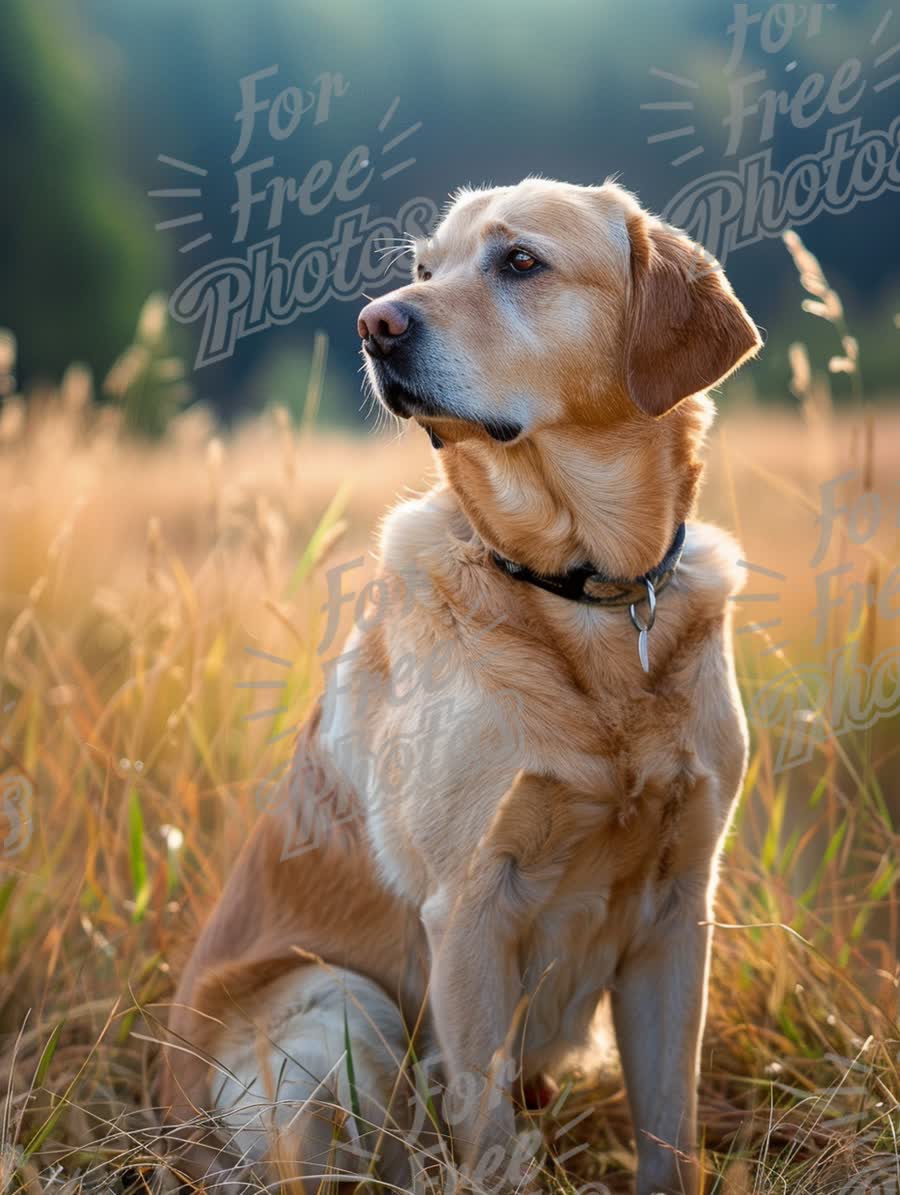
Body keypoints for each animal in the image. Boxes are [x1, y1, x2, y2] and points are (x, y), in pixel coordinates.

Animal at [160, 176, 760, 1195]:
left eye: (520, 260)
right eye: (423, 267)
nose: (375, 324)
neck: (587, 590)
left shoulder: (681, 908)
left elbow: (670, 1130)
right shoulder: (471, 910)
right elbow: (484, 1126)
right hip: (335, 1002)